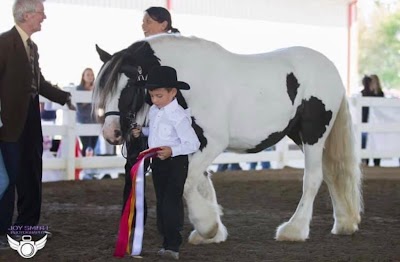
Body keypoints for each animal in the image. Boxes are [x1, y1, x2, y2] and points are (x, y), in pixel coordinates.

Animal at [93, 33, 362, 245]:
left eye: (131, 86)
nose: (111, 133)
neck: (191, 81)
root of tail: (331, 69)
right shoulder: (193, 143)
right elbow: (200, 183)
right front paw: (213, 231)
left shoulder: (212, 143)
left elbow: (187, 183)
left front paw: (207, 226)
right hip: (299, 133)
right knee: (331, 173)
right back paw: (344, 224)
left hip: (314, 134)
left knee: (313, 178)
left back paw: (294, 230)